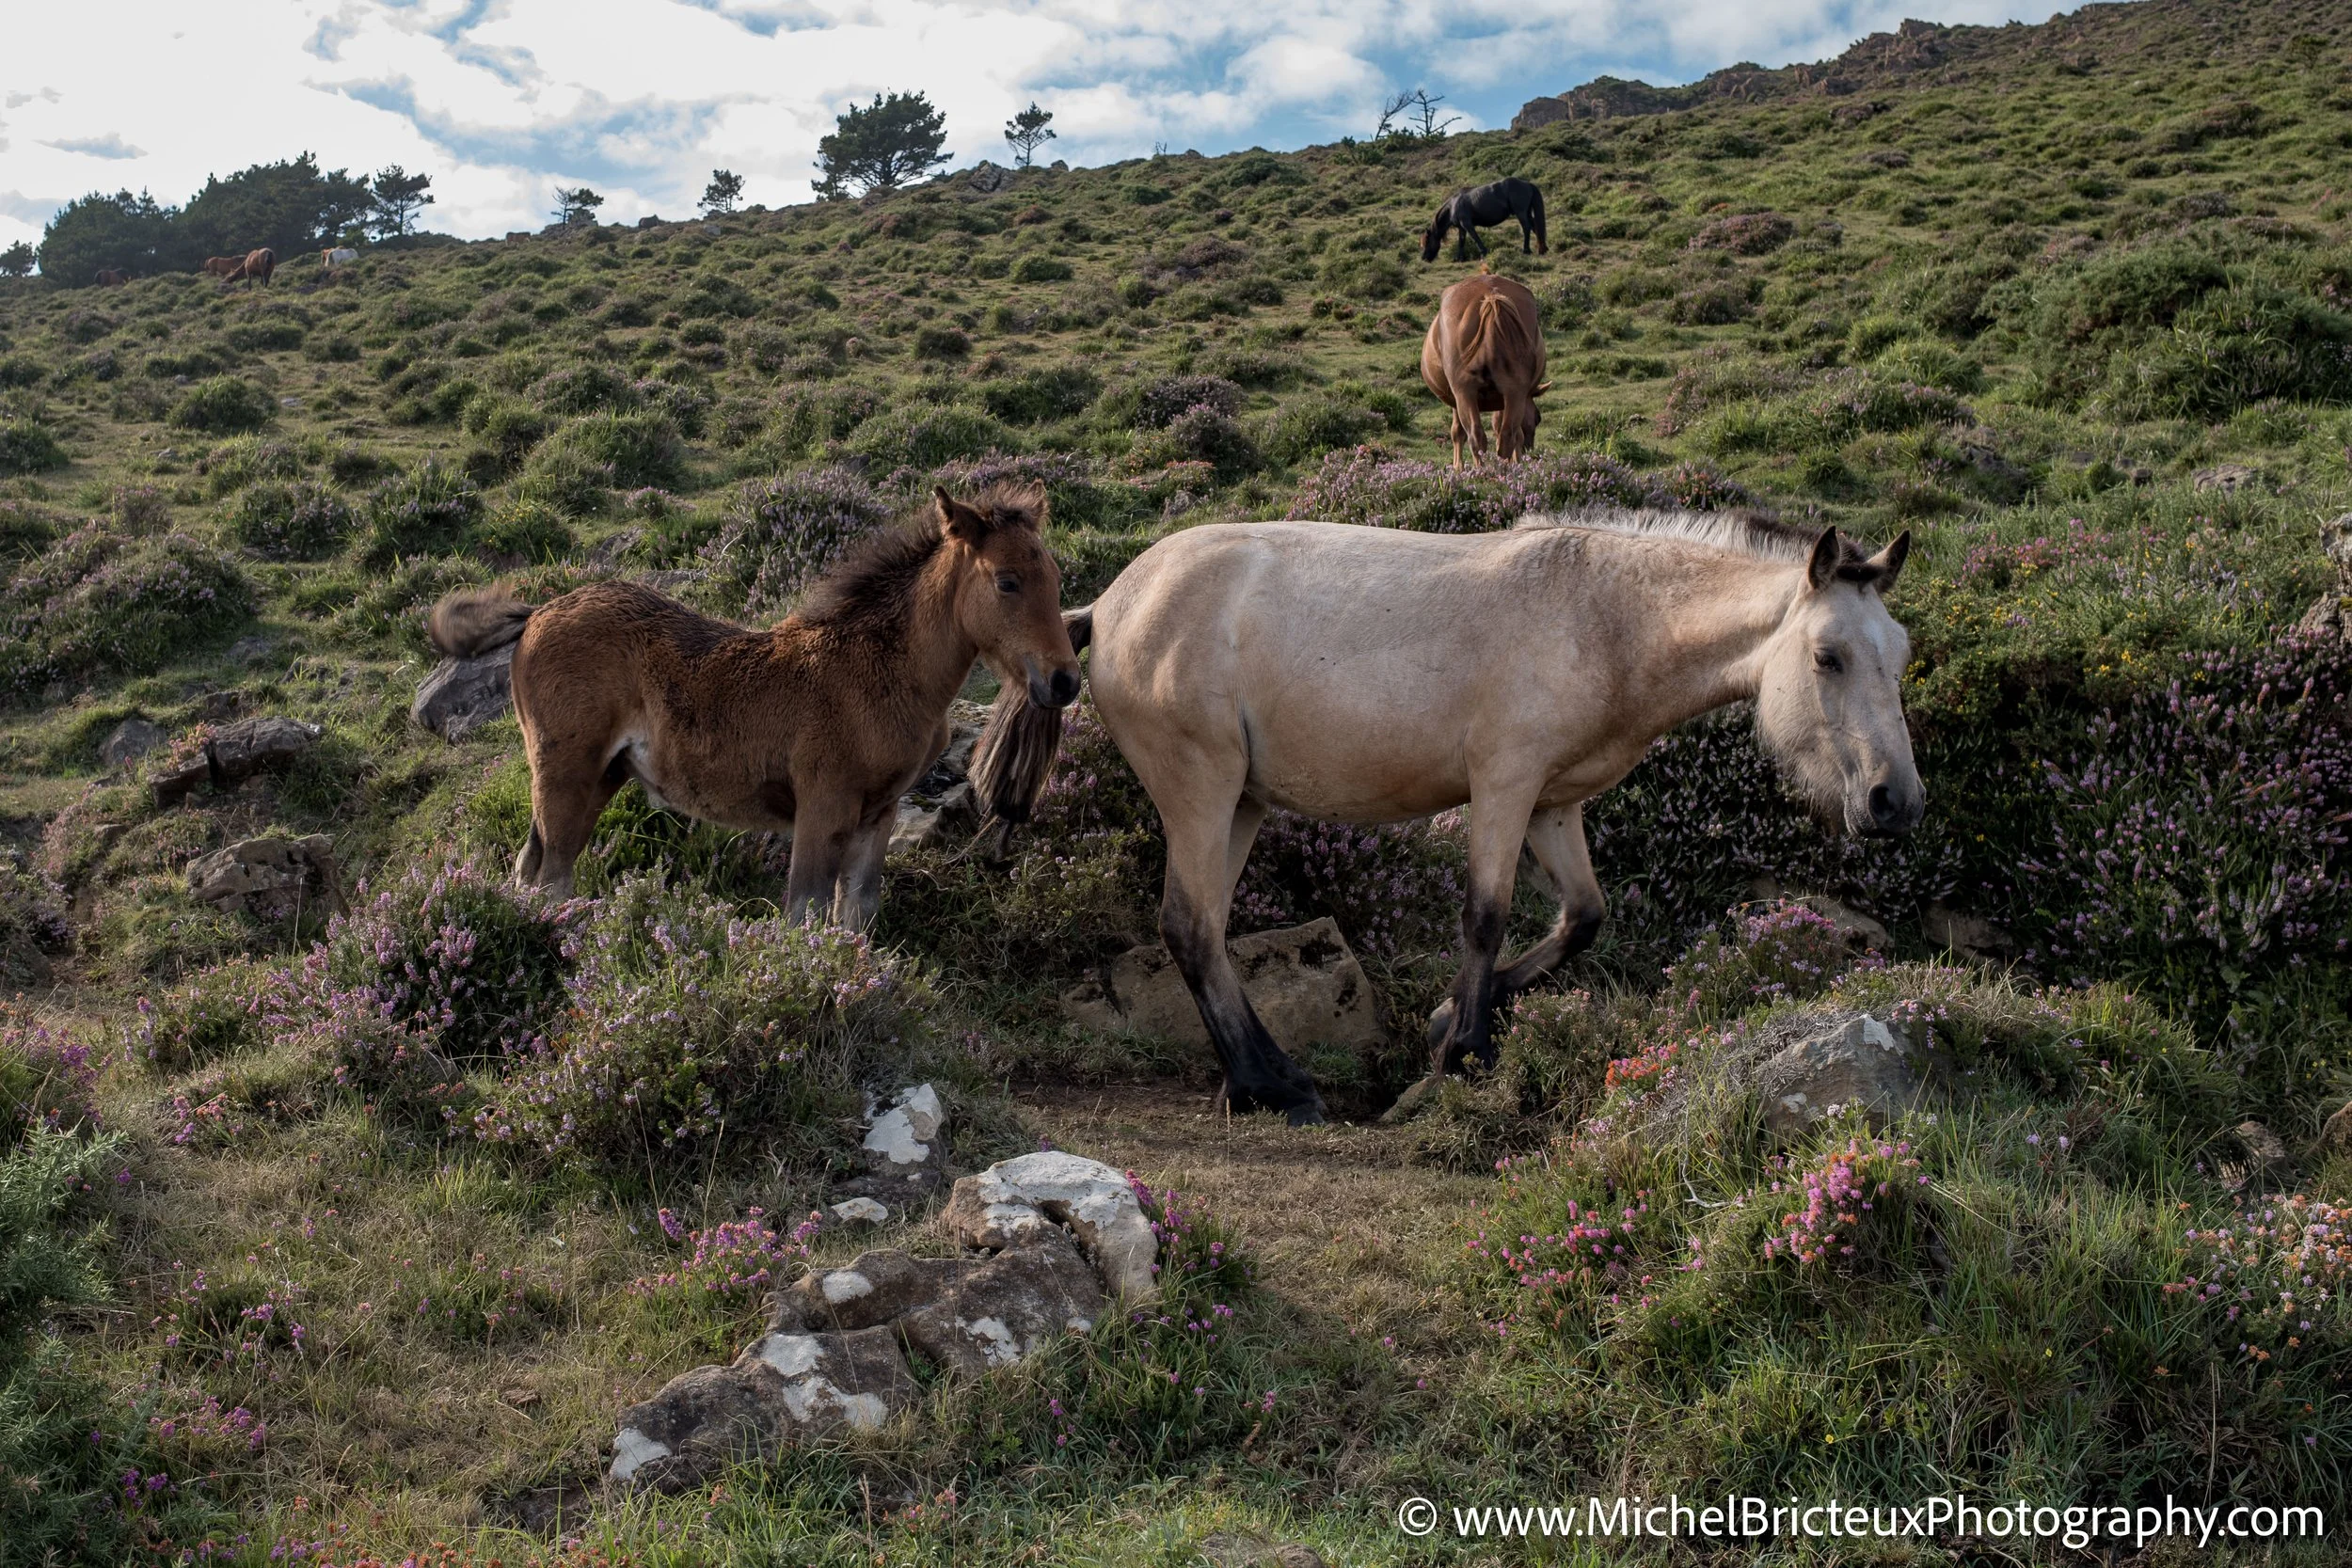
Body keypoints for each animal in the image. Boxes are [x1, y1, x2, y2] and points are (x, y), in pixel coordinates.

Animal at [424, 483, 1081, 924]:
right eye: (1006, 581)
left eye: (1053, 575)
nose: (1065, 681)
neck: (885, 672)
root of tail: (538, 611)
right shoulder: (822, 808)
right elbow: (804, 916)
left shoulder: (879, 813)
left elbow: (856, 916)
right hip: (565, 774)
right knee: (550, 878)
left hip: (600, 777)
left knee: (532, 867)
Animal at [975, 510, 1920, 1125]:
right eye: (1827, 657)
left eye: (1900, 656)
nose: (1896, 801)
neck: (1601, 619)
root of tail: (1108, 604)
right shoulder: (1502, 787)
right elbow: (1486, 915)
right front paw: (1461, 1051)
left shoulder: (1553, 804)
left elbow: (1582, 917)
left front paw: (1453, 1020)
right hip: (1202, 788)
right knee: (1189, 926)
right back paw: (1272, 1086)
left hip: (1241, 799)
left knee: (1200, 927)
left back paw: (1262, 1076)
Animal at [1421, 273, 1551, 466]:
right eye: (1538, 418)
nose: (1530, 452)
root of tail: (1490, 294)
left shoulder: (1458, 399)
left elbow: (1457, 432)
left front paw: (1458, 467)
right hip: (1514, 392)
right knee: (1507, 435)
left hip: (1465, 393)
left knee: (1476, 436)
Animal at [1422, 178, 1547, 263]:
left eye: (1427, 241)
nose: (1424, 258)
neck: (1453, 205)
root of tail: (1527, 184)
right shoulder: (1462, 228)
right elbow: (1461, 241)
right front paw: (1459, 258)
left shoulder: (1467, 224)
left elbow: (1475, 238)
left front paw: (1483, 253)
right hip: (1527, 213)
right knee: (1535, 228)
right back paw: (1542, 250)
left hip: (1520, 213)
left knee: (1526, 228)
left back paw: (1526, 250)